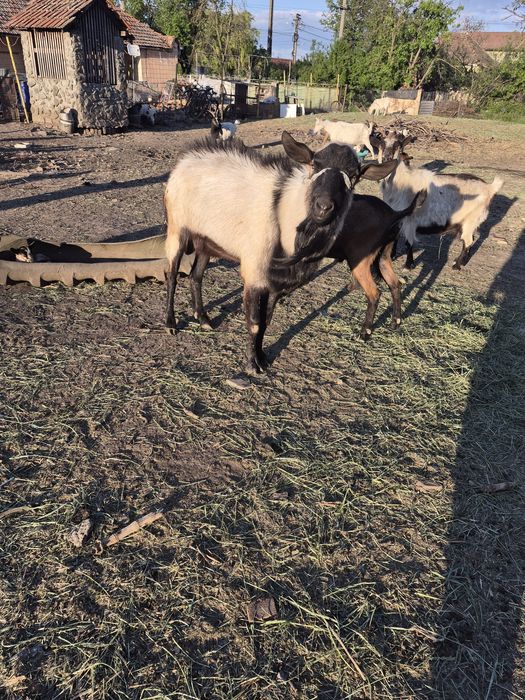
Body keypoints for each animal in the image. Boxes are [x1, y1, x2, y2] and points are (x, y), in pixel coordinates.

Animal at [164, 132, 397, 373]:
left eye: (353, 175)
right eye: (314, 164)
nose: (323, 207)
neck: (283, 214)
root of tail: (185, 161)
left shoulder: (276, 283)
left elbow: (266, 322)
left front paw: (262, 358)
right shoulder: (254, 273)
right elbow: (255, 322)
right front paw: (252, 364)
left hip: (205, 242)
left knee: (196, 276)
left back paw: (203, 319)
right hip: (177, 230)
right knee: (172, 275)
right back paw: (171, 323)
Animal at [381, 137, 503, 269]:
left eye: (397, 145)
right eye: (381, 142)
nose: (386, 157)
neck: (402, 180)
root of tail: (490, 188)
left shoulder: (410, 220)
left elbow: (409, 243)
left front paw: (408, 265)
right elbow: (395, 239)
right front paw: (392, 256)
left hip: (472, 220)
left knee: (468, 241)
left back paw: (457, 265)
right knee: (470, 239)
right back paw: (461, 262)